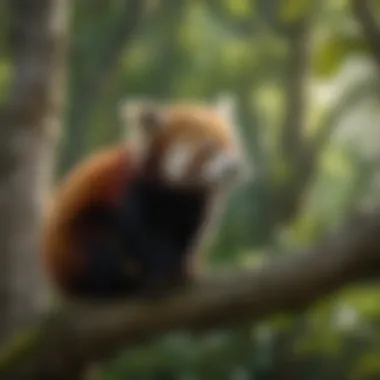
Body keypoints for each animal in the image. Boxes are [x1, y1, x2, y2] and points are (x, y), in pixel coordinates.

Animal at [41, 96, 248, 298]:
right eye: (208, 148)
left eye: (231, 145)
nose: (234, 167)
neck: (178, 192)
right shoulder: (130, 189)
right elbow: (138, 231)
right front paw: (164, 265)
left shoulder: (197, 203)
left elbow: (190, 235)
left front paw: (187, 267)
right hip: (77, 242)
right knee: (101, 246)